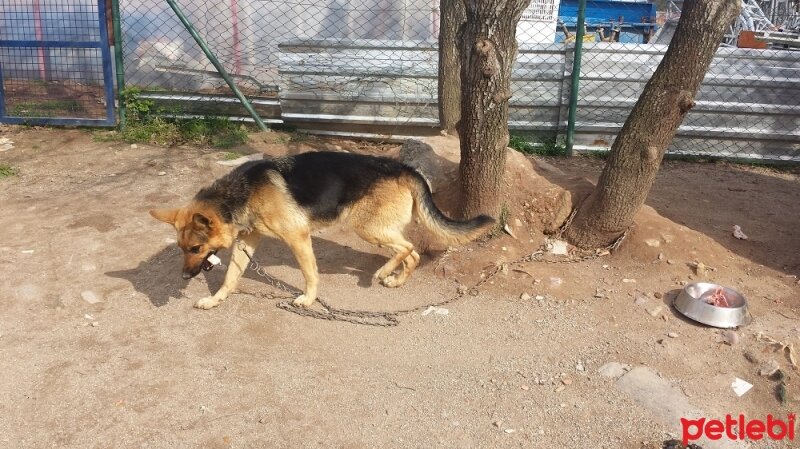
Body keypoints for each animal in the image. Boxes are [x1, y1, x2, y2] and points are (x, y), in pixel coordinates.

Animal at [150, 150, 494, 308]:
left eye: (195, 248)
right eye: (182, 249)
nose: (184, 277)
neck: (241, 194)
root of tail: (404, 168)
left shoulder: (298, 238)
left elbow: (309, 273)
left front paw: (308, 299)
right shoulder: (246, 243)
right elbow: (230, 278)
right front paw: (215, 300)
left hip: (366, 227)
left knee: (410, 248)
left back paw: (384, 274)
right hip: (376, 229)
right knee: (411, 254)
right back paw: (394, 280)